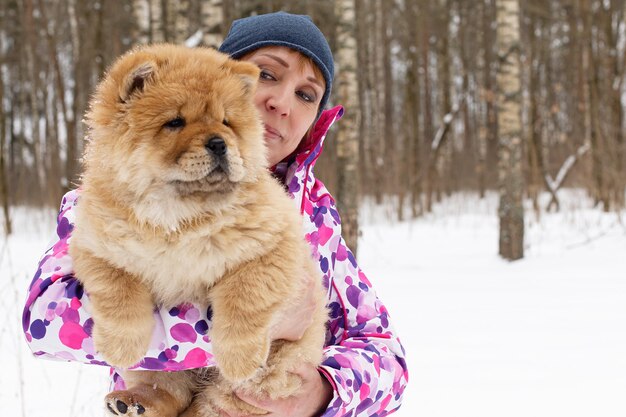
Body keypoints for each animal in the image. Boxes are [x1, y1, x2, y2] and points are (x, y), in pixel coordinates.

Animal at [69, 43, 326, 416]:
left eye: (226, 122)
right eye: (175, 122)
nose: (219, 142)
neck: (180, 216)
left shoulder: (271, 250)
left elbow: (245, 300)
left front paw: (238, 358)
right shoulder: (98, 248)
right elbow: (119, 296)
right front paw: (120, 346)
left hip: (263, 379)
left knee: (211, 404)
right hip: (159, 368)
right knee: (166, 387)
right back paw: (133, 401)